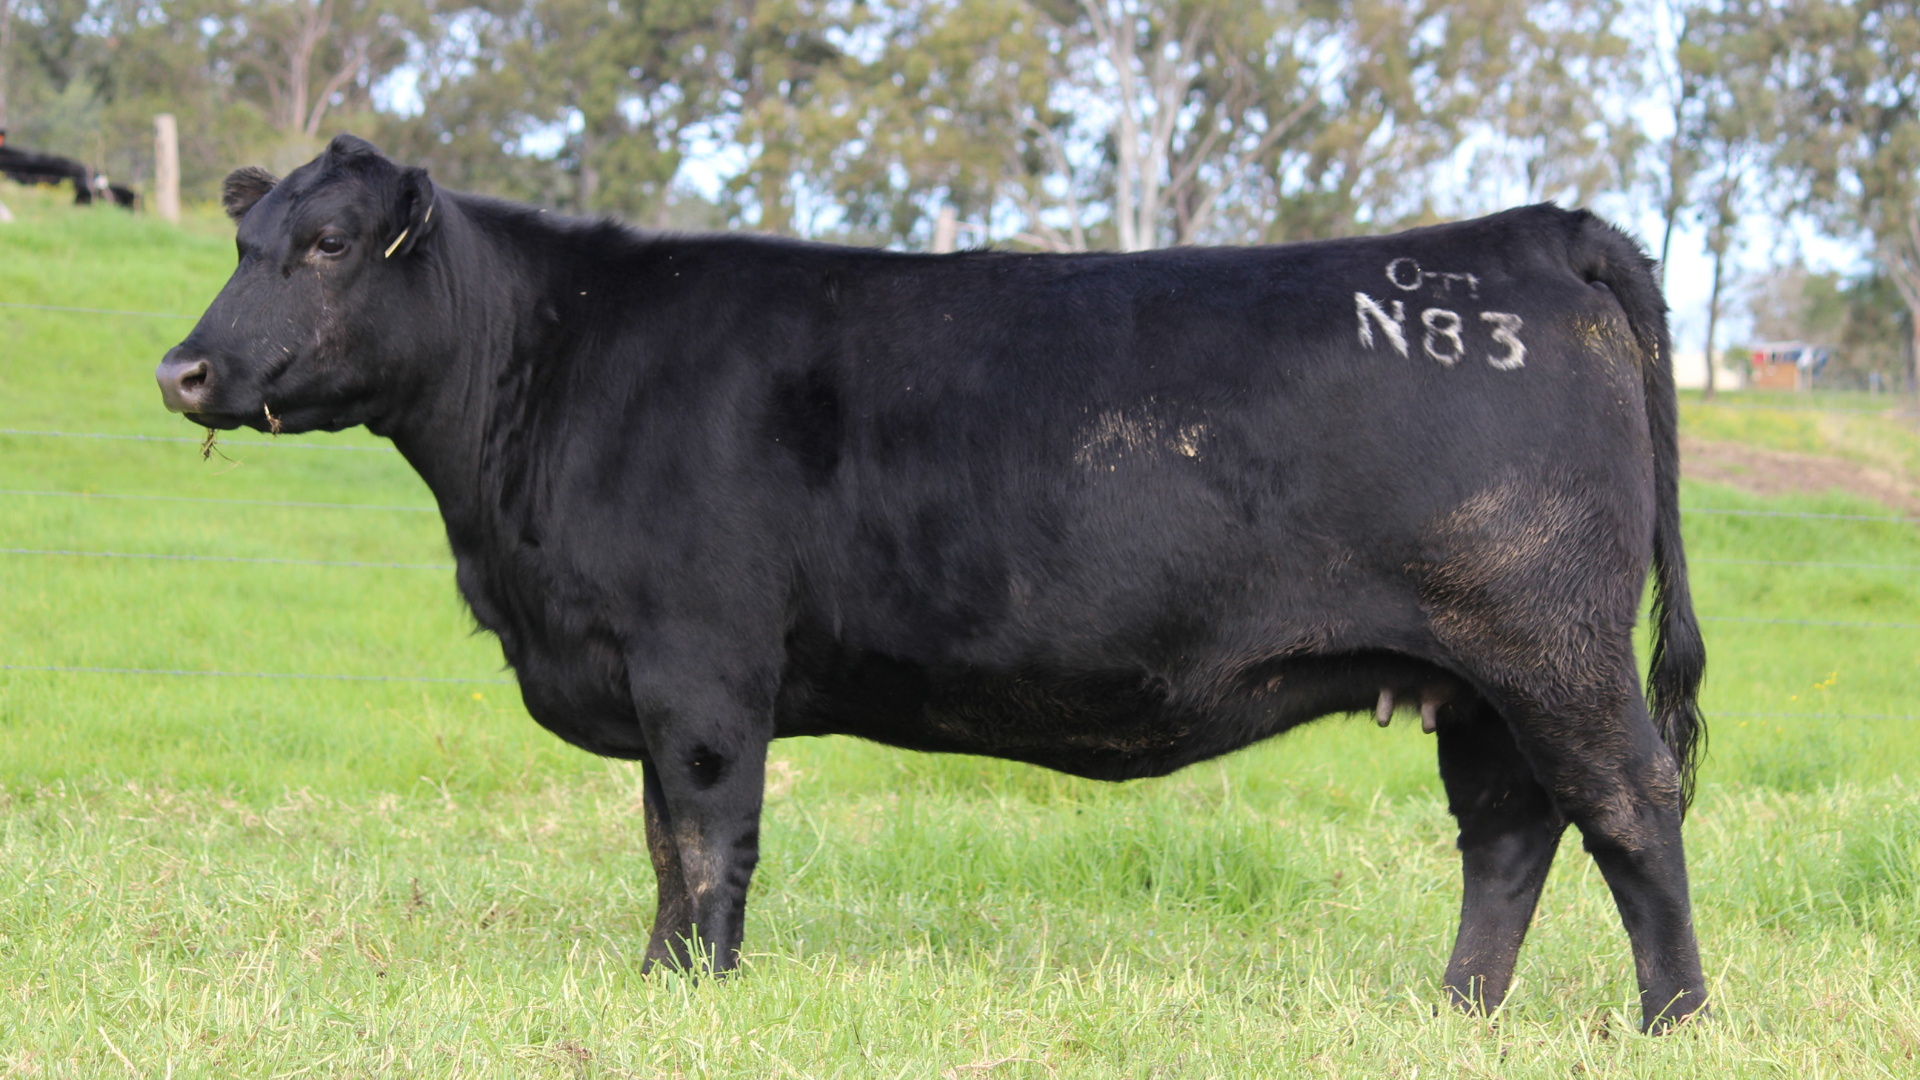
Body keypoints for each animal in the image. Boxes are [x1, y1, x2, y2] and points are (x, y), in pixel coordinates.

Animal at [157, 135, 1708, 1031]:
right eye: (240, 243)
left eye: (329, 246)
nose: (183, 370)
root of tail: (1530, 229)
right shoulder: (654, 677)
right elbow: (660, 842)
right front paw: (656, 988)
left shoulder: (702, 665)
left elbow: (708, 838)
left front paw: (699, 993)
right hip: (1476, 678)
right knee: (1510, 831)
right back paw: (1456, 1015)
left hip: (1547, 644)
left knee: (1631, 805)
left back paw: (1672, 1017)